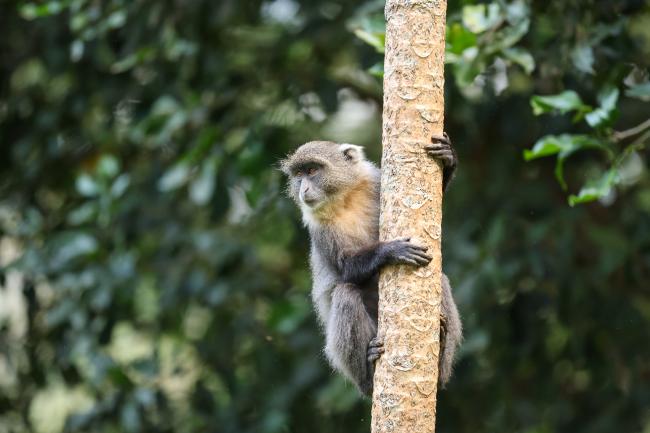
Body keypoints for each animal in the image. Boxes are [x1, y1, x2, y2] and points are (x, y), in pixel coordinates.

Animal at [280, 134, 462, 397]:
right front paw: (390, 250)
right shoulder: (320, 228)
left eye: (312, 170)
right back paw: (369, 372)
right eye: (298, 175)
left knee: (440, 279)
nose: (303, 188)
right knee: (345, 293)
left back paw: (439, 359)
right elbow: (346, 268)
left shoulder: (376, 182)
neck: (344, 199)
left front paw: (448, 157)